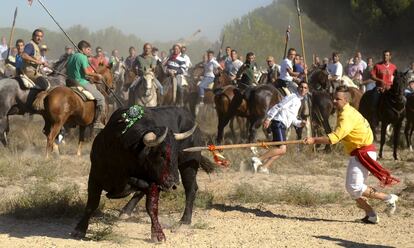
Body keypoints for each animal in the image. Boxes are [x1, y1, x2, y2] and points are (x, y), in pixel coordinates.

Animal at [71, 105, 215, 241]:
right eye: (161, 154)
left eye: (176, 153)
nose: (173, 182)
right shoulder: (94, 176)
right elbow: (92, 204)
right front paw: (79, 229)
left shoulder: (153, 182)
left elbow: (151, 206)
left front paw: (157, 234)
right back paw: (126, 211)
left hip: (188, 167)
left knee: (191, 189)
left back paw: (184, 222)